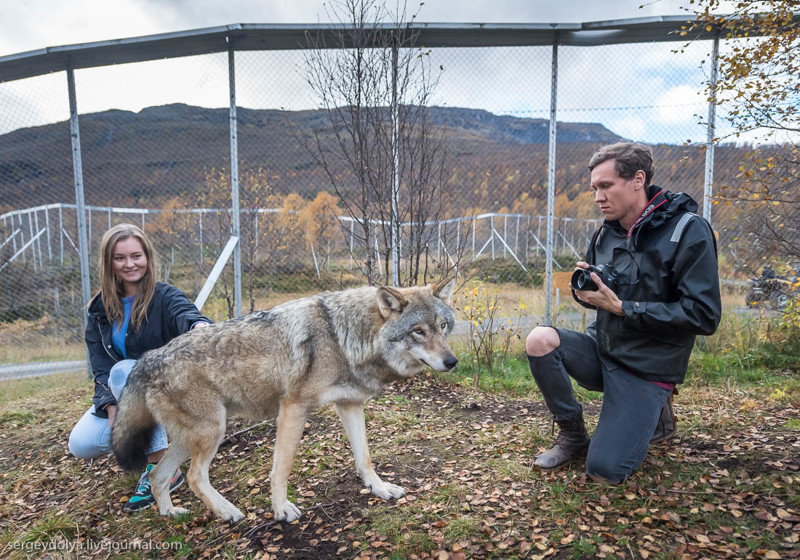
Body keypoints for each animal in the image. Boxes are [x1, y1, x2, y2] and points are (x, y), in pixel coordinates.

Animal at [111, 280, 456, 524]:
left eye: (443, 326)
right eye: (418, 331)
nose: (452, 361)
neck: (343, 337)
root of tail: (147, 359)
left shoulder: (350, 406)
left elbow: (365, 458)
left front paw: (380, 489)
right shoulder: (293, 408)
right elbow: (282, 467)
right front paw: (281, 510)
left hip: (190, 439)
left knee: (157, 475)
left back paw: (170, 513)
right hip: (211, 433)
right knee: (195, 477)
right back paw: (227, 512)